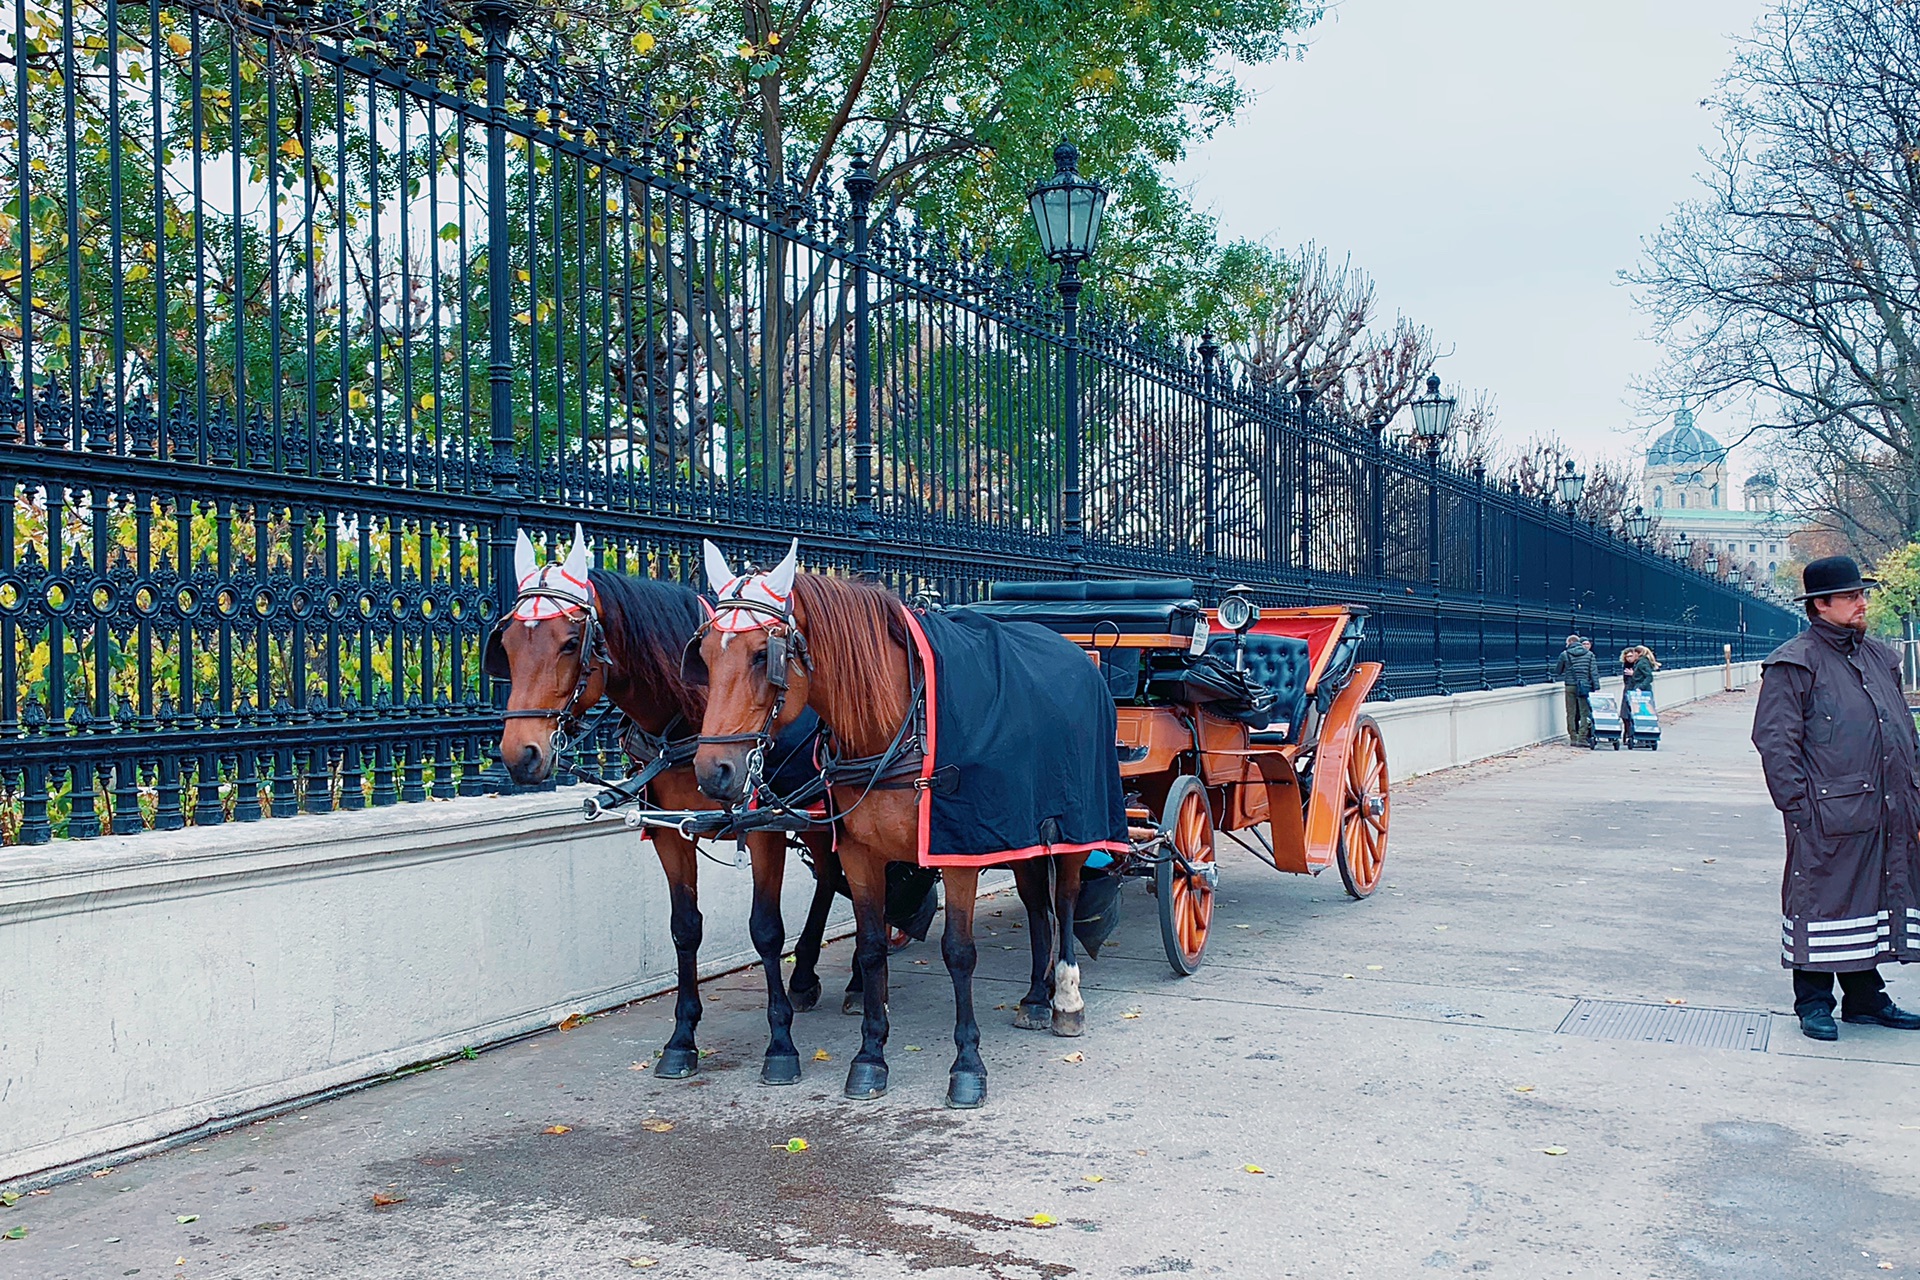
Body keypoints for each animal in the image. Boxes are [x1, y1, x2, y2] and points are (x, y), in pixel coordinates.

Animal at [487, 525, 840, 1090]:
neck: (690, 714)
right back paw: (809, 974)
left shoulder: (763, 827)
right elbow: (684, 928)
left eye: (570, 643)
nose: (522, 755)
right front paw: (682, 1039)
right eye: (509, 645)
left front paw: (781, 1045)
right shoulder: (671, 833)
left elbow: (765, 930)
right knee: (831, 876)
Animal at [695, 545, 1098, 1113]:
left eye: (760, 655)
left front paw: (967, 1065)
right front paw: (869, 1056)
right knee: (1037, 903)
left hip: (1069, 826)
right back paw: (1036, 999)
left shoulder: (958, 849)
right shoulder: (862, 855)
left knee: (1063, 898)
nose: (714, 772)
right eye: (705, 653)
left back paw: (1065, 998)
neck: (895, 727)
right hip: (1021, 826)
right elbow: (870, 947)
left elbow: (959, 952)